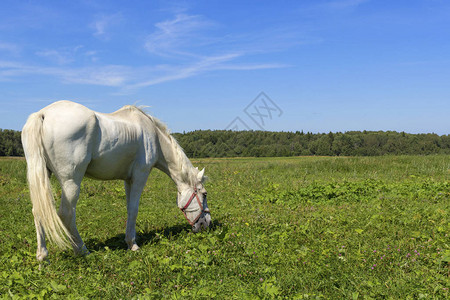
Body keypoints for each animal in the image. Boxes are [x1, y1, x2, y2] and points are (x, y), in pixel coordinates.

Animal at [21, 101, 211, 260]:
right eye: (204, 194)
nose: (206, 224)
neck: (154, 138)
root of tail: (43, 114)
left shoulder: (128, 180)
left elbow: (128, 208)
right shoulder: (140, 176)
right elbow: (133, 209)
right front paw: (133, 244)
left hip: (42, 177)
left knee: (38, 211)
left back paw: (43, 256)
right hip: (71, 182)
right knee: (66, 215)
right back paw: (82, 250)